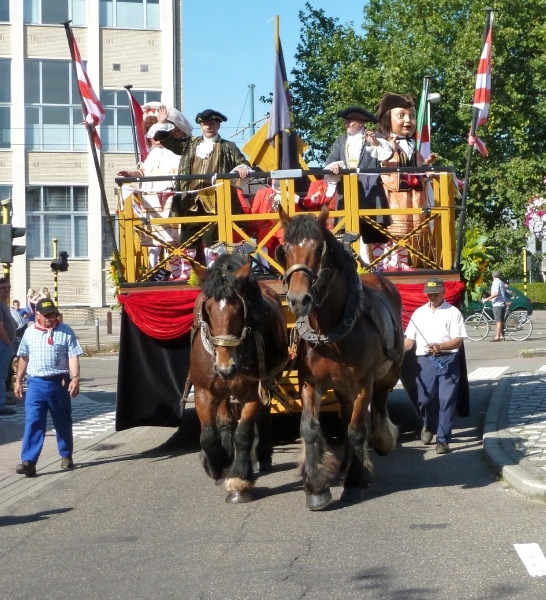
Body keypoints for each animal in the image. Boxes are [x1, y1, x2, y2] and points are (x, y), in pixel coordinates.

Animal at [189, 252, 286, 502]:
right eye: (208, 307)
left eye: (239, 309)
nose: (225, 368)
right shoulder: (203, 391)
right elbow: (208, 434)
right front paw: (216, 464)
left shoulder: (254, 391)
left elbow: (244, 433)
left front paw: (239, 481)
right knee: (225, 419)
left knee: (260, 417)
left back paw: (261, 456)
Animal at [276, 204, 404, 508]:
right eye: (284, 250)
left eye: (318, 248)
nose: (298, 300)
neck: (330, 331)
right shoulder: (311, 382)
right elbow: (310, 427)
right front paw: (316, 488)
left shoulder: (363, 384)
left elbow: (358, 428)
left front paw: (356, 481)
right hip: (342, 387)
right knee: (345, 418)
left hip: (389, 371)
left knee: (379, 403)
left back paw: (380, 441)